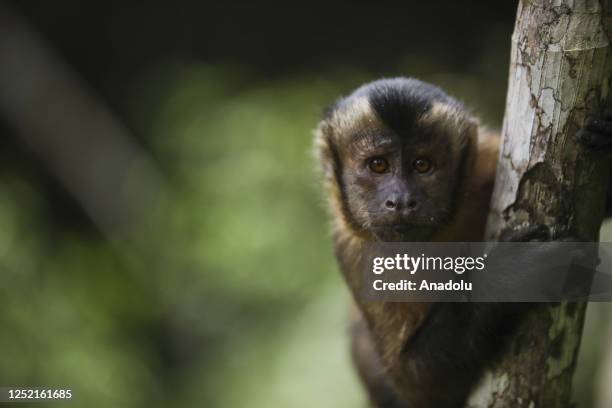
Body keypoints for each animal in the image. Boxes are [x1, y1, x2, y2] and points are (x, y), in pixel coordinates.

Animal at [316, 77, 612, 408]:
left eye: (422, 165)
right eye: (378, 165)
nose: (401, 200)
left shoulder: (488, 159)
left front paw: (606, 135)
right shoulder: (353, 251)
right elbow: (419, 386)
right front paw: (515, 276)